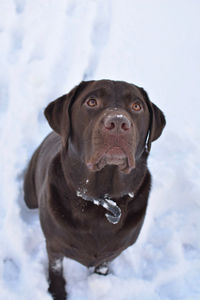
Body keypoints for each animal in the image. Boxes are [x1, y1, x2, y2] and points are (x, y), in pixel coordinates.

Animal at [23, 78, 166, 298]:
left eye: (137, 106)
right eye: (91, 102)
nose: (118, 123)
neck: (102, 198)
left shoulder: (113, 252)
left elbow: (103, 265)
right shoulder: (54, 245)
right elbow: (55, 268)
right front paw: (57, 292)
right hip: (29, 197)